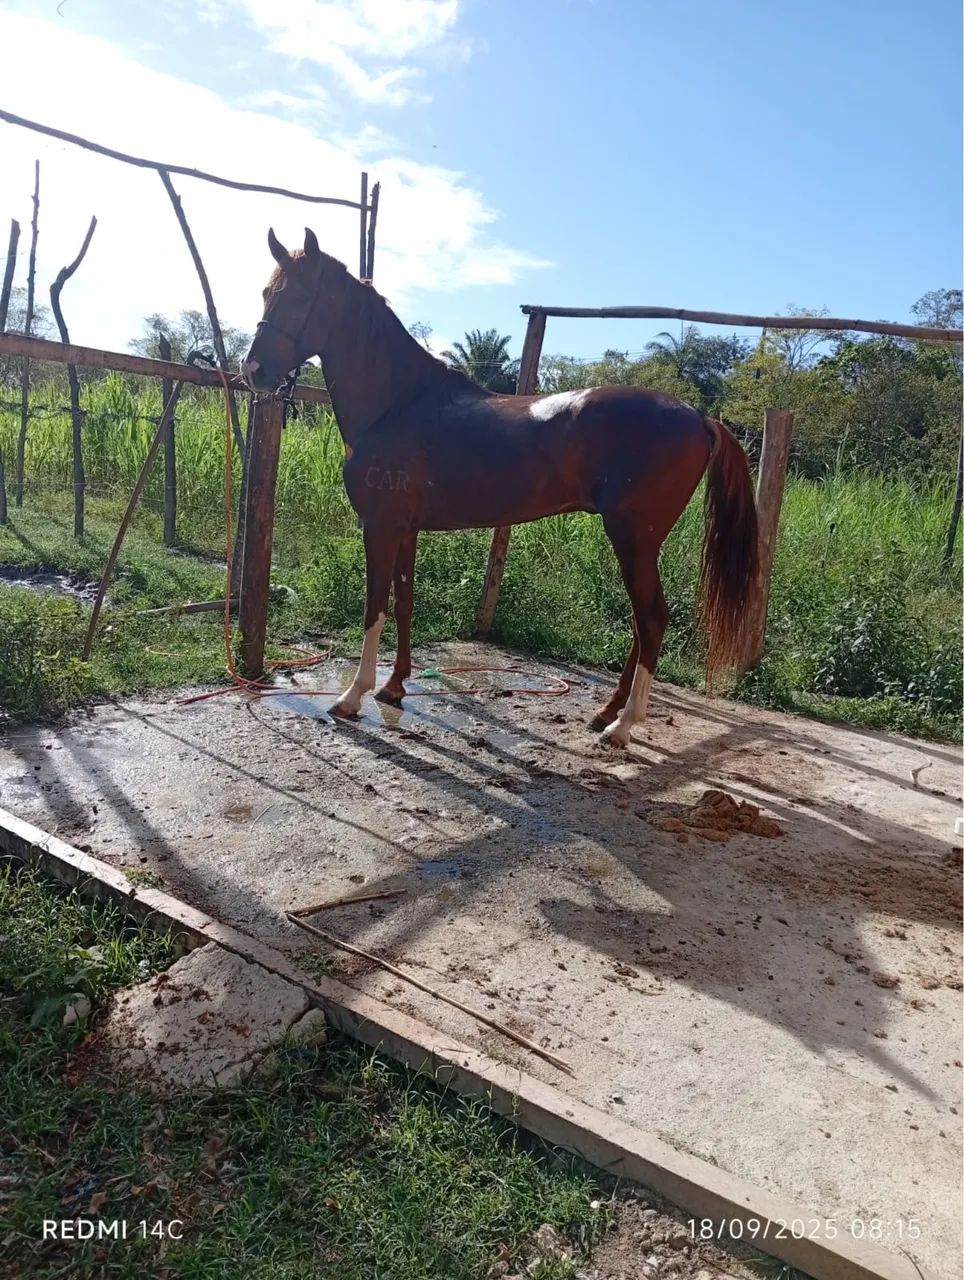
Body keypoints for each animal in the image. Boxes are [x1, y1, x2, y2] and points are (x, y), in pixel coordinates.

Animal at [242, 229, 759, 747]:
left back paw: (621, 726)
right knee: (640, 621)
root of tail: (698, 417)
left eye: (300, 297)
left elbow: (374, 608)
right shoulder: (406, 529)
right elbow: (404, 602)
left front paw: (353, 696)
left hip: (633, 538)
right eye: (265, 293)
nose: (253, 371)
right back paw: (605, 712)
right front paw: (395, 686)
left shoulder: (380, 527)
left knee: (652, 619)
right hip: (641, 545)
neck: (399, 404)